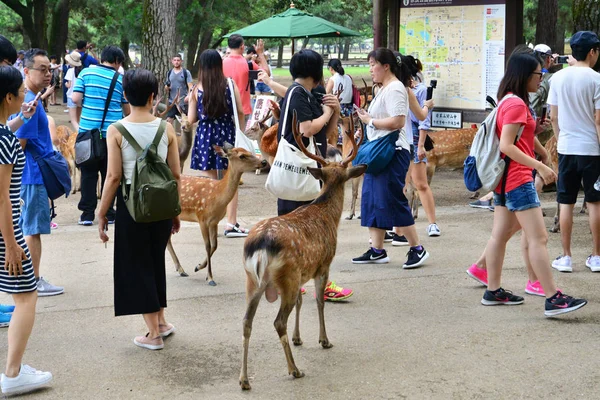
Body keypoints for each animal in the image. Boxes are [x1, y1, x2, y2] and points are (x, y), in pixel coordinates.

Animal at [165, 142, 266, 282]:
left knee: (168, 239)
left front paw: (198, 267)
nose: (263, 161)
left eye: (250, 151)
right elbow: (207, 246)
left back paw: (181, 270)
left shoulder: (214, 221)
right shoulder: (201, 217)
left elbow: (214, 245)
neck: (217, 195)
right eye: (242, 155)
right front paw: (210, 277)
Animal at [239, 110, 366, 390]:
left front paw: (299, 338)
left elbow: (300, 301)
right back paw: (294, 369)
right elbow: (319, 301)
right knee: (278, 321)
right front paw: (324, 339)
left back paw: (243, 380)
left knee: (246, 322)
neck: (327, 214)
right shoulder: (323, 263)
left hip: (254, 280)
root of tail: (261, 244)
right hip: (286, 275)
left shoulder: (303, 272)